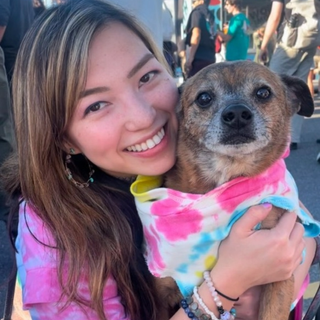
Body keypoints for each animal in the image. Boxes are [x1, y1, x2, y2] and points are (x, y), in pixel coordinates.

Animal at [131, 60, 318, 320]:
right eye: (204, 98)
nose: (237, 113)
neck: (225, 177)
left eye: (263, 93)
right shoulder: (161, 295)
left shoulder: (280, 279)